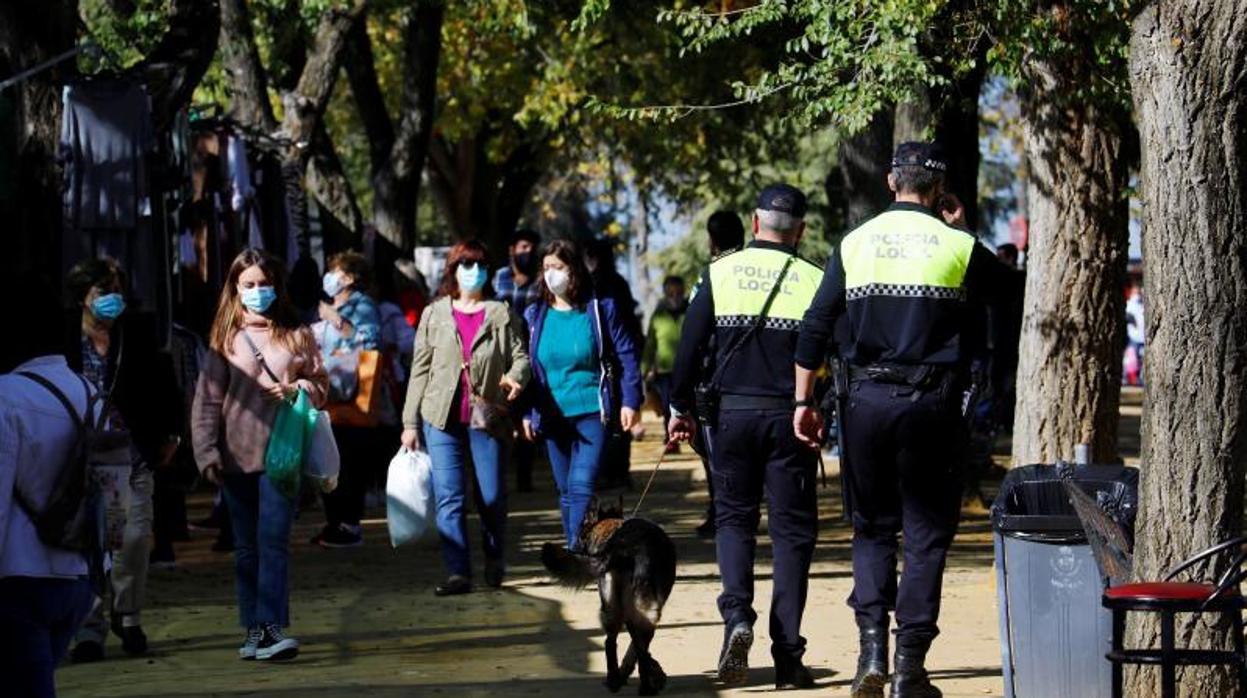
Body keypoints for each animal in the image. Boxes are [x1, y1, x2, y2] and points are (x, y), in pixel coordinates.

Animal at [543, 496, 678, 693]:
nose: (574, 547)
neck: (610, 528)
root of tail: (622, 547)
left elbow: (632, 647)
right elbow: (636, 648)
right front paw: (655, 674)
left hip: (612, 610)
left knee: (610, 642)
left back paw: (614, 680)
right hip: (644, 612)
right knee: (639, 649)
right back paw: (645, 687)